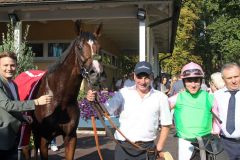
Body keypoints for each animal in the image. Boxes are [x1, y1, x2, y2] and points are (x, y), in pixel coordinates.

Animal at [30, 21, 101, 160]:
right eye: (79, 47)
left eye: (99, 47)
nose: (95, 73)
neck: (59, 99)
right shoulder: (44, 138)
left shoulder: (70, 137)